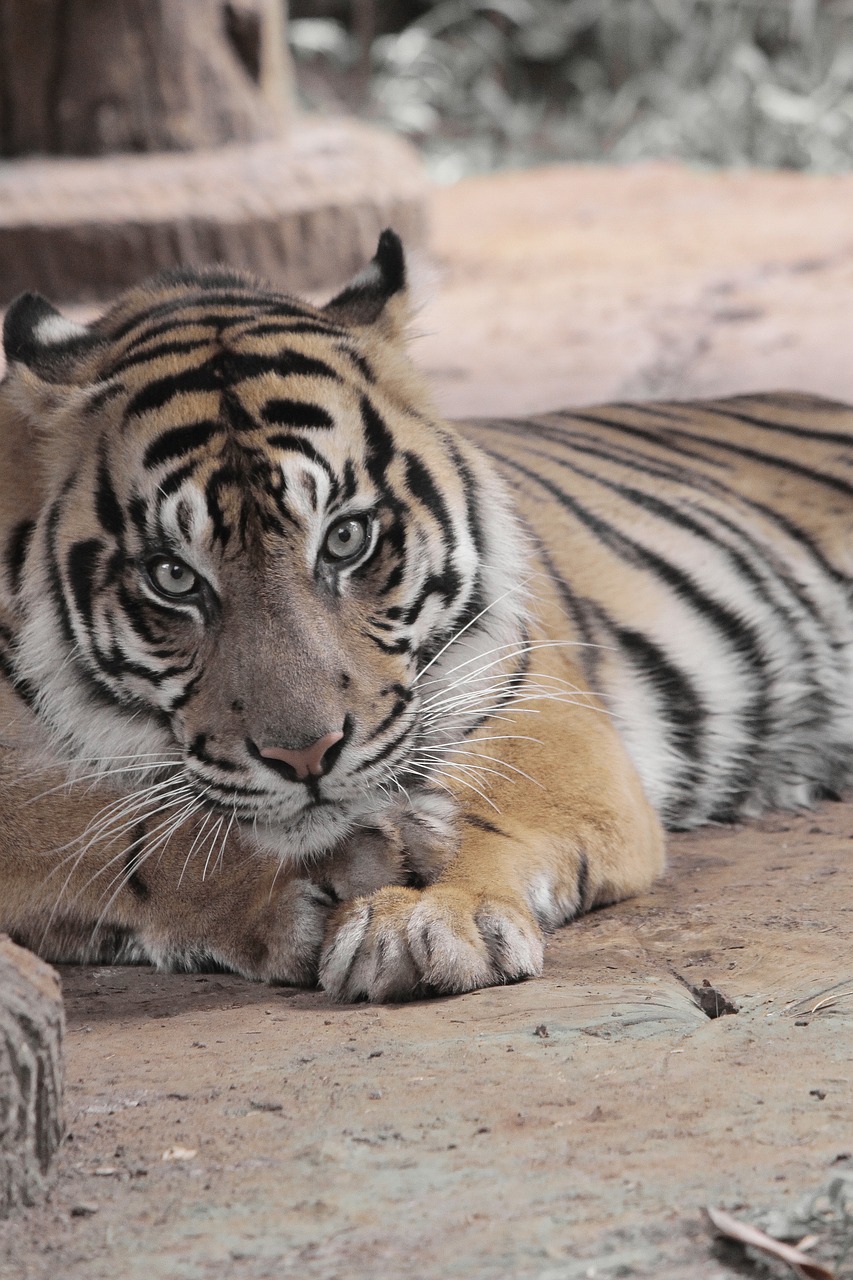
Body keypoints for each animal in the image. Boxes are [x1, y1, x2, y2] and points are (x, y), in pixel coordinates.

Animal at [0, 232, 845, 998]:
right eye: (174, 576)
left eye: (345, 537)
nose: (305, 758)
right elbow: (141, 835)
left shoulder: (541, 707)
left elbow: (486, 810)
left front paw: (427, 917)